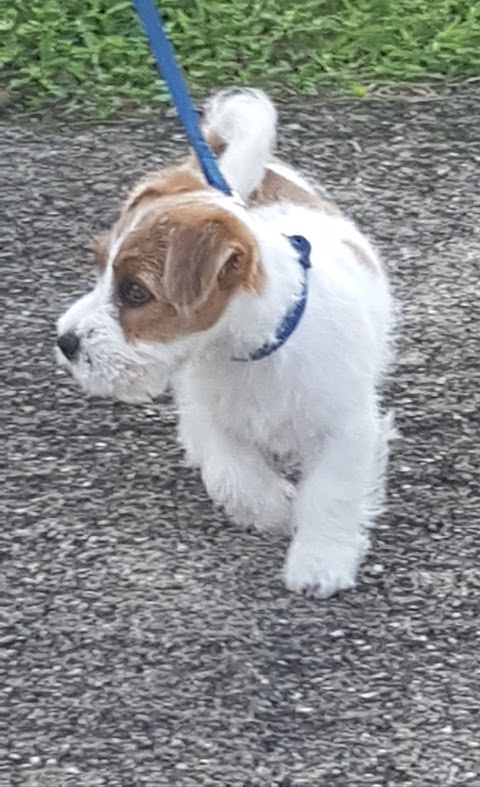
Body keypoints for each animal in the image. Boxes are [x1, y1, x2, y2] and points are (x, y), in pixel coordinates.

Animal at [57, 89, 394, 600]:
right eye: (99, 269)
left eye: (135, 292)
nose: (65, 341)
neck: (252, 351)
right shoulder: (207, 413)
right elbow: (232, 472)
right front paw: (276, 509)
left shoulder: (345, 427)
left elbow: (331, 492)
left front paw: (319, 562)